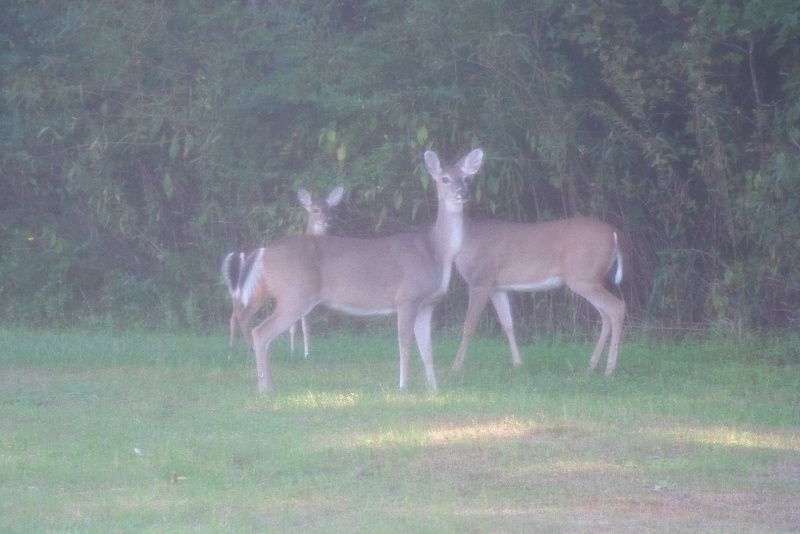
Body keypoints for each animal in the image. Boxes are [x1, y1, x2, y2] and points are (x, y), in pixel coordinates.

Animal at [222, 186, 344, 362]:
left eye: (330, 208)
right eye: (315, 209)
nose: (328, 220)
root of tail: (237, 255)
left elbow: (295, 325)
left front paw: (294, 351)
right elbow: (303, 323)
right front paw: (305, 353)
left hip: (236, 293)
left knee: (234, 316)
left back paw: (231, 354)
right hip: (255, 292)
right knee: (243, 316)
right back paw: (250, 350)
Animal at [244, 149, 482, 396]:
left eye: (466, 178)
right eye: (444, 178)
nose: (463, 193)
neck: (437, 251)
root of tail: (264, 254)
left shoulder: (427, 304)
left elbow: (427, 350)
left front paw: (434, 388)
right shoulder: (406, 297)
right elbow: (404, 345)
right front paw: (403, 386)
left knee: (266, 336)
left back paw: (271, 386)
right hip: (296, 294)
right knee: (260, 333)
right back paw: (264, 389)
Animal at [450, 217, 624, 376]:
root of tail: (614, 233)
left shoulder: (480, 281)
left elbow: (469, 325)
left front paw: (456, 366)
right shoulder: (497, 288)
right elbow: (507, 323)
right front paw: (518, 364)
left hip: (583, 278)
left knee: (617, 307)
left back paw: (609, 369)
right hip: (590, 280)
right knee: (606, 315)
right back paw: (592, 366)